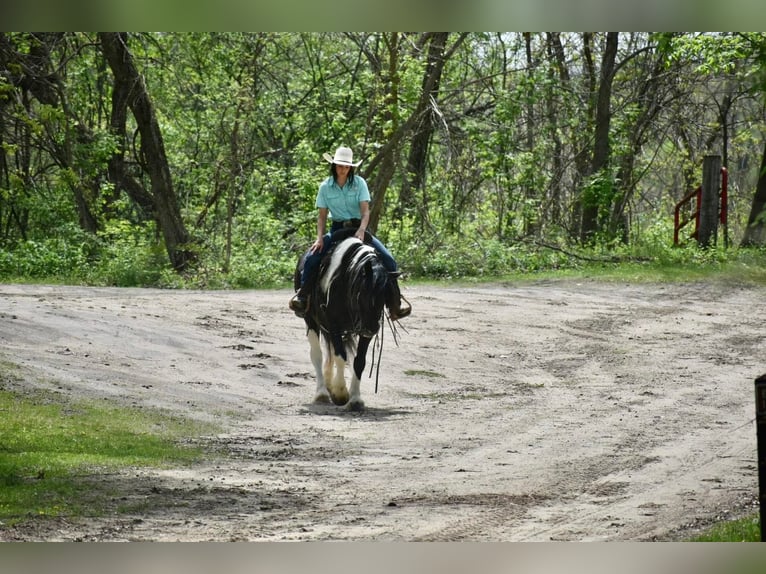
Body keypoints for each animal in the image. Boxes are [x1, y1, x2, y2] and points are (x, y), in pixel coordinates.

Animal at [292, 230, 390, 414]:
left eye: (386, 294)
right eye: (362, 293)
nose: (371, 328)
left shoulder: (362, 330)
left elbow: (359, 361)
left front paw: (355, 399)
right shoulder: (334, 324)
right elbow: (340, 356)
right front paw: (340, 393)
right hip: (311, 320)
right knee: (317, 354)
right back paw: (322, 393)